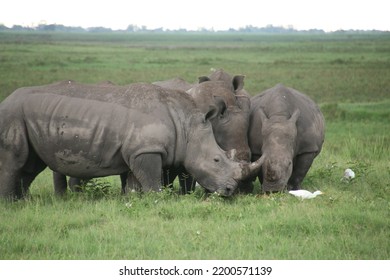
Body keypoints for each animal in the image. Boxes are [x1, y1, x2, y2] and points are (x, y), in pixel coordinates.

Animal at [0, 80, 264, 200]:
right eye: (217, 160)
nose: (230, 190)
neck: (186, 123)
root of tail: (6, 100)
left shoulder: (138, 150)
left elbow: (134, 181)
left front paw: (132, 200)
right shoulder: (147, 149)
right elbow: (151, 179)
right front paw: (157, 199)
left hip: (29, 118)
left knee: (31, 165)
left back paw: (23, 202)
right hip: (12, 114)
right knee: (16, 161)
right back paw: (11, 204)